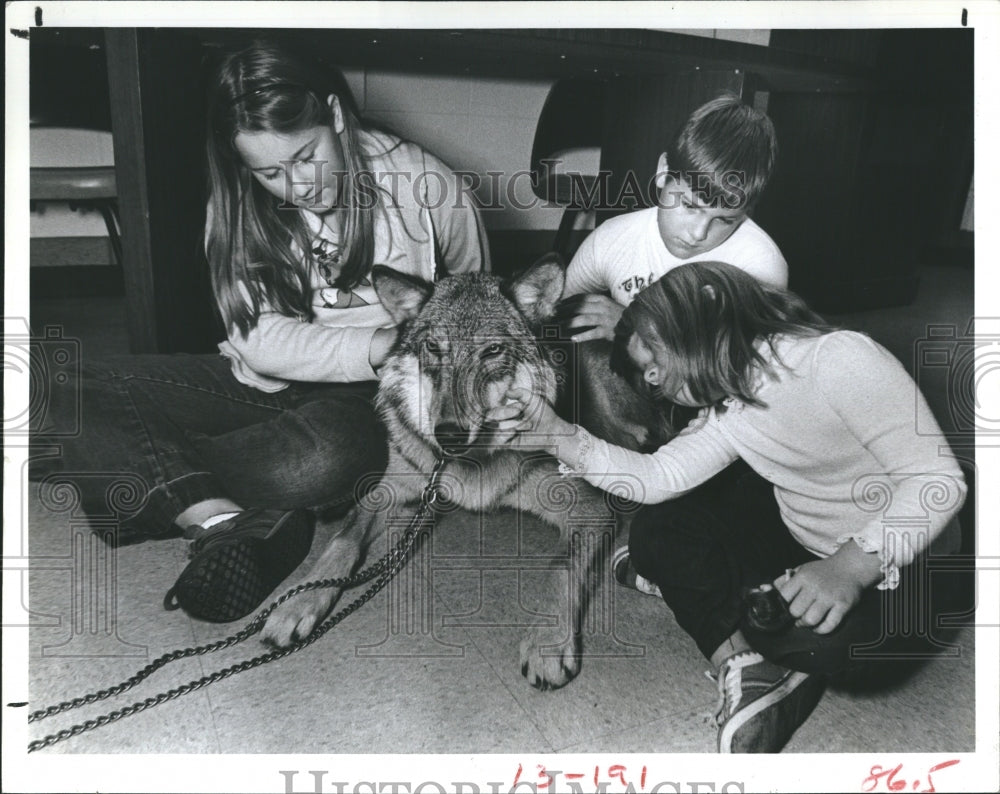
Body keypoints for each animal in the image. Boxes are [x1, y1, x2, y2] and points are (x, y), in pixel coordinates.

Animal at [261, 256, 669, 689]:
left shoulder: (587, 509)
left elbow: (560, 566)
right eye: (433, 348)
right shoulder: (392, 490)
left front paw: (547, 645)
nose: (448, 435)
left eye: (492, 350)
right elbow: (344, 540)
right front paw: (299, 600)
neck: (470, 461)